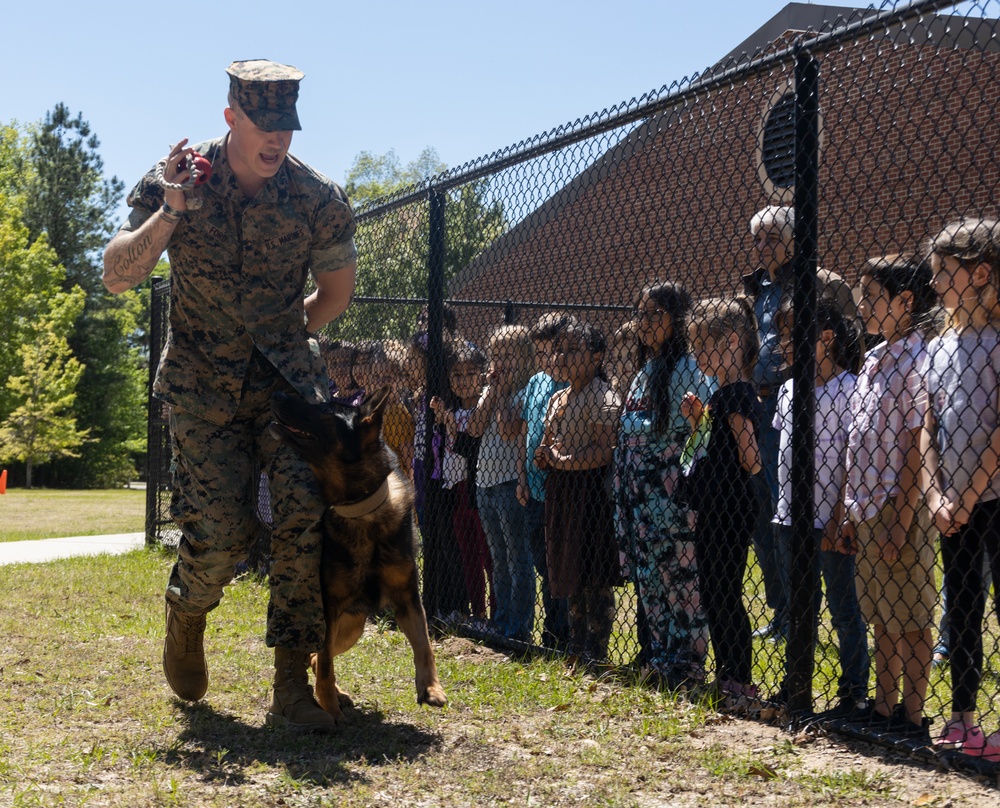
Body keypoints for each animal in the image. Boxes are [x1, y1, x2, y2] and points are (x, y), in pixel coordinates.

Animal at [272, 386, 448, 720]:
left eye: (326, 411)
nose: (279, 395)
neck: (360, 508)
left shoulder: (408, 598)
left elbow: (424, 644)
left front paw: (431, 688)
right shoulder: (329, 608)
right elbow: (326, 665)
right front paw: (328, 705)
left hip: (352, 628)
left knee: (314, 656)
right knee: (318, 657)